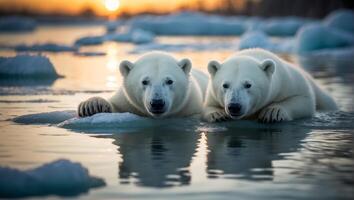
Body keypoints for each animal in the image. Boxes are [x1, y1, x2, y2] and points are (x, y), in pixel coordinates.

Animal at [78, 51, 207, 119]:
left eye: (169, 81)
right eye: (144, 81)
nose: (157, 103)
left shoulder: (190, 106)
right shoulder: (127, 102)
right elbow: (114, 106)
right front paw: (91, 106)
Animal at [202, 48, 338, 123]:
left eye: (248, 85)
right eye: (225, 85)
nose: (234, 106)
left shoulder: (288, 81)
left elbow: (305, 100)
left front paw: (273, 112)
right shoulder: (212, 95)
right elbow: (207, 106)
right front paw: (217, 114)